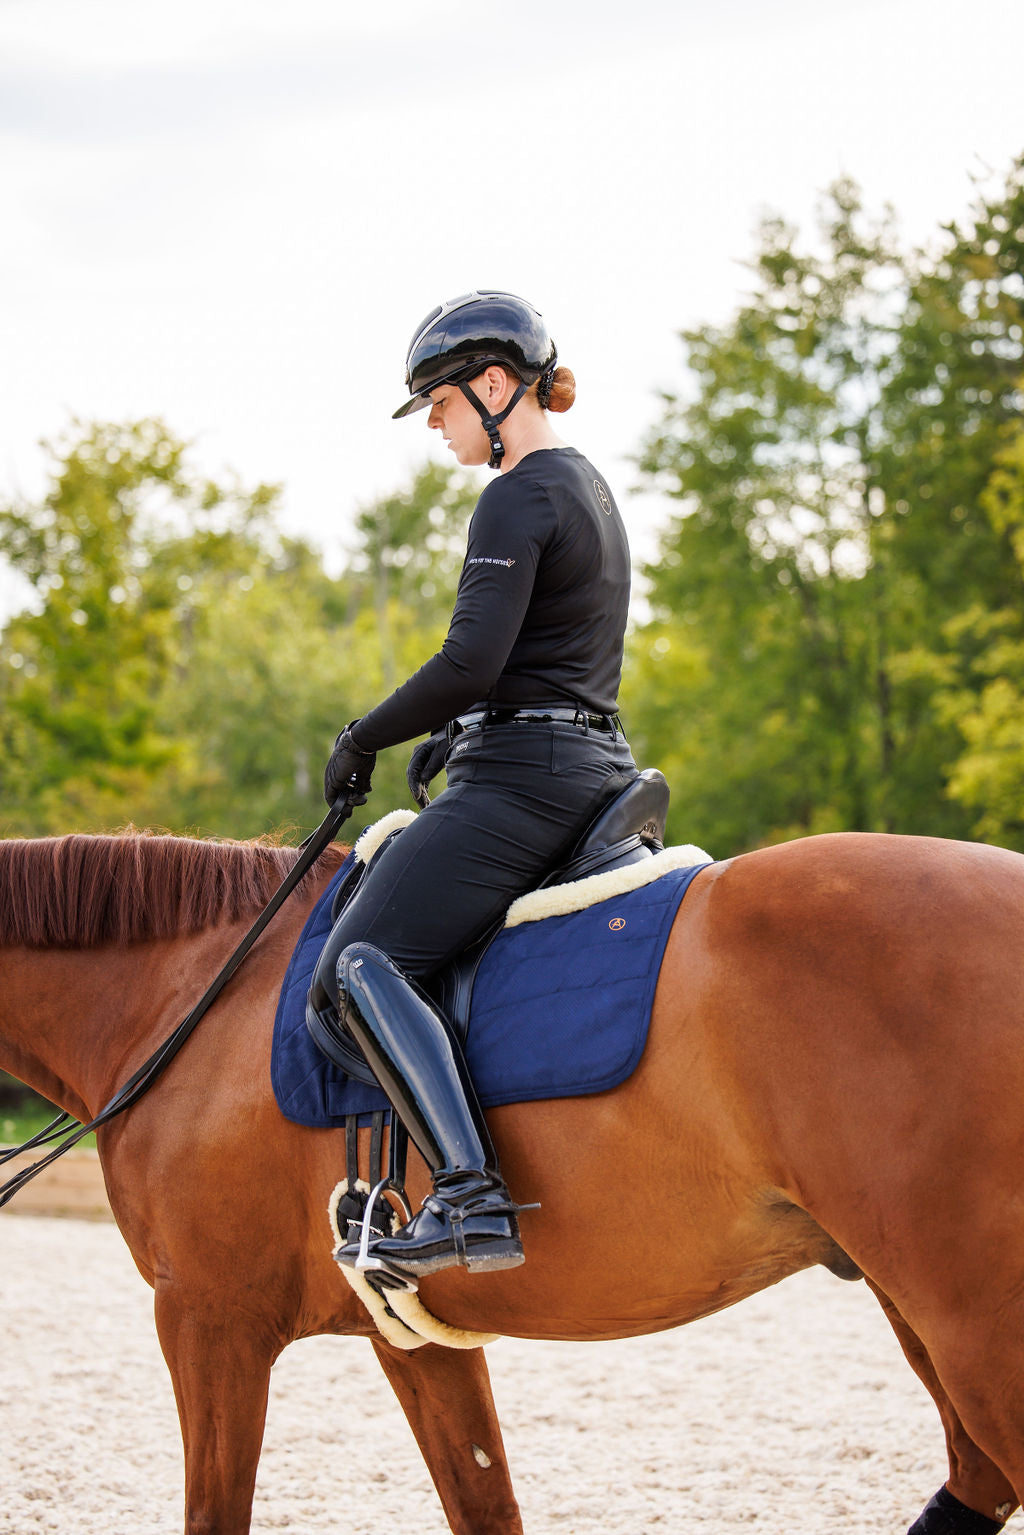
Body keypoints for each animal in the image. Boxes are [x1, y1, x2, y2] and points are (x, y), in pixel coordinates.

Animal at [1, 823, 1023, 1535]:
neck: (184, 1002)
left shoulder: (208, 1317)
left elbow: (216, 1511)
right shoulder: (414, 1333)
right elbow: (484, 1503)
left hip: (972, 1321)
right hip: (910, 1297)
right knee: (980, 1474)